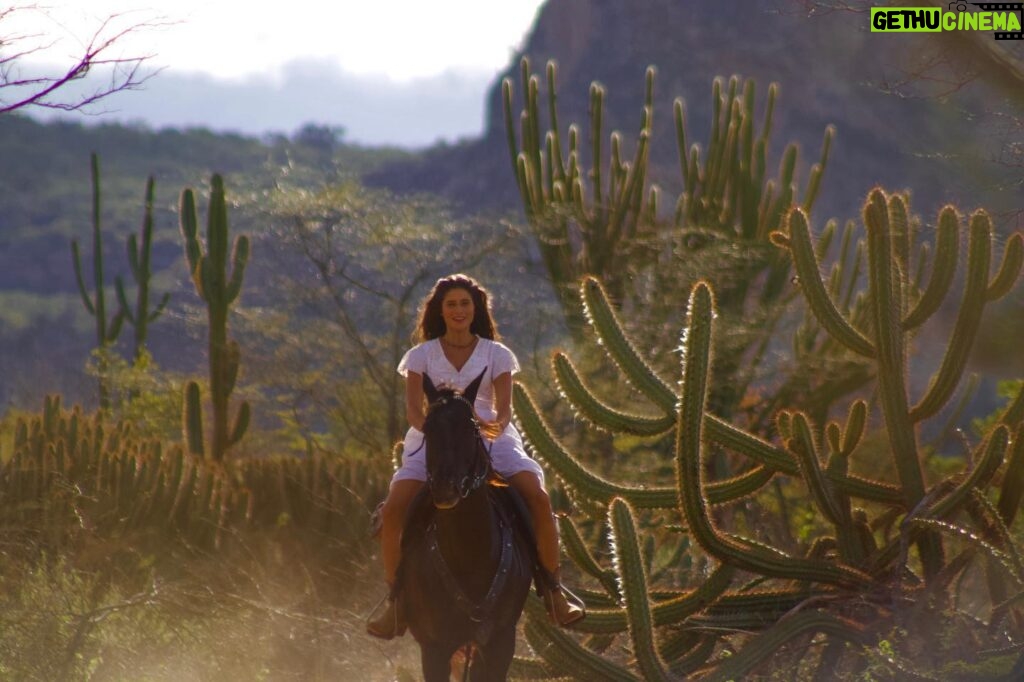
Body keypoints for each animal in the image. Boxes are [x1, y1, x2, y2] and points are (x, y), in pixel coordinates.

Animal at [393, 368, 532, 679]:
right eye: (428, 428)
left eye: (472, 429)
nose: (446, 489)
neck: (470, 554)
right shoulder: (434, 647)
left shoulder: (500, 643)